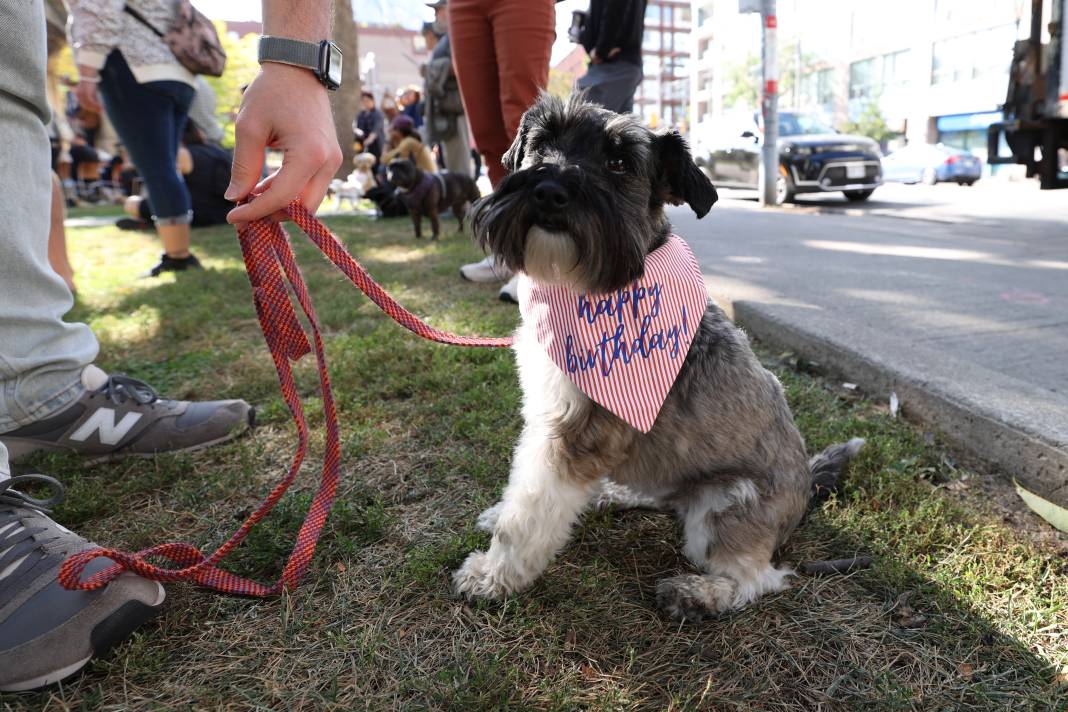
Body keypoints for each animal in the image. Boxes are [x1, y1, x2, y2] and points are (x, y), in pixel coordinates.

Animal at [452, 94, 867, 623]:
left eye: (619, 163)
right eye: (542, 143)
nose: (548, 191)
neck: (585, 287)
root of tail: (806, 489)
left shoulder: (573, 434)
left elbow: (527, 513)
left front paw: (492, 576)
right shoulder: (548, 419)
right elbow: (521, 489)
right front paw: (497, 523)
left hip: (724, 506)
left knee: (760, 578)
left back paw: (699, 592)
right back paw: (612, 495)